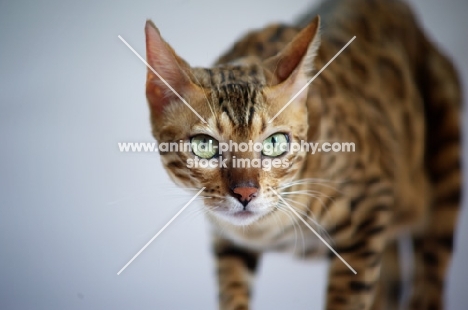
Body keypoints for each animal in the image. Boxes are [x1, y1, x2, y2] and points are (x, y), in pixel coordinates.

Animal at [143, 0, 460, 308]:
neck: (269, 227)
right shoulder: (228, 239)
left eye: (275, 143)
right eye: (204, 145)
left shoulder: (372, 205)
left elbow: (350, 295)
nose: (246, 193)